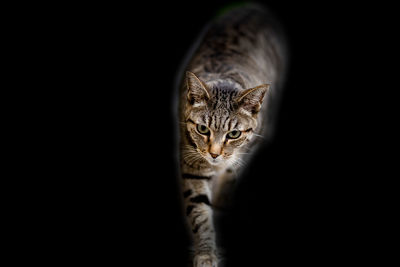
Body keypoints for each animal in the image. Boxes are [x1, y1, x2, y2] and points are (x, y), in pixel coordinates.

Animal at [175, 4, 288, 267]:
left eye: (234, 134)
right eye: (203, 129)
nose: (215, 154)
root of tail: (254, 6)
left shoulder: (241, 156)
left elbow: (228, 182)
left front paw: (222, 204)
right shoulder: (191, 162)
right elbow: (199, 212)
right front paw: (206, 252)